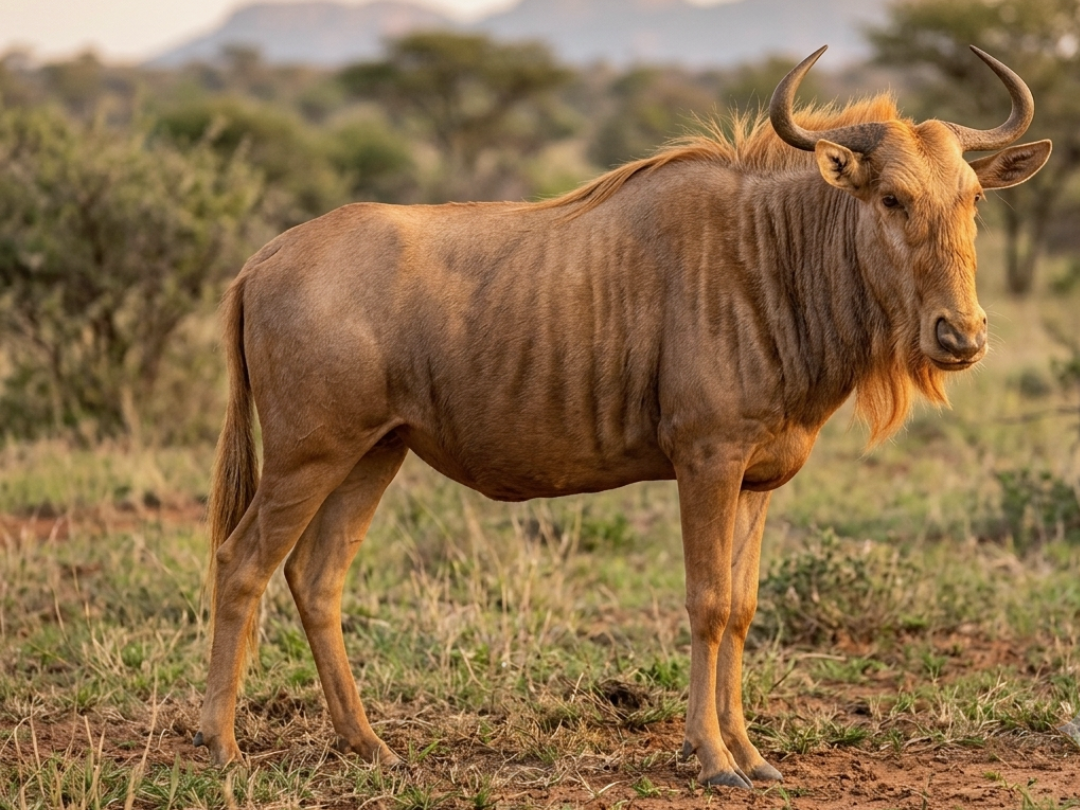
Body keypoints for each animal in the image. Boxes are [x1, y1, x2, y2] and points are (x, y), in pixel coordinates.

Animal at [194, 46, 1051, 788]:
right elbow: (707, 604)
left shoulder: (759, 480)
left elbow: (742, 610)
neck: (768, 256)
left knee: (316, 579)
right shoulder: (706, 461)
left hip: (373, 454)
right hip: (306, 458)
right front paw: (714, 761)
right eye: (893, 198)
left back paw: (368, 744)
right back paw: (222, 746)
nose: (962, 336)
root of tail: (261, 259)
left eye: (974, 200)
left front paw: (751, 753)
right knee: (242, 564)